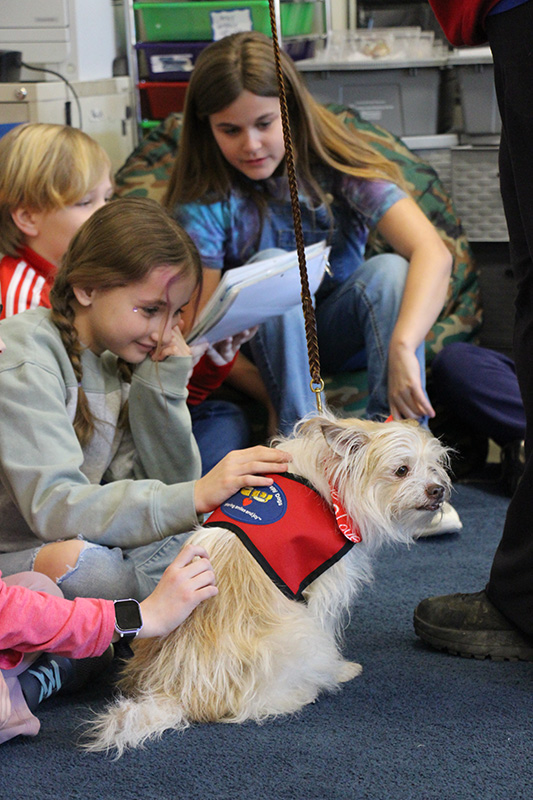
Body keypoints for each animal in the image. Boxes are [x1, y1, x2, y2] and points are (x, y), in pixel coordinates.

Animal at [86, 416, 448, 752]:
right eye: (401, 470)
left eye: (434, 467)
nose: (438, 490)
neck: (330, 483)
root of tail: (173, 693)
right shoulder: (322, 590)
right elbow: (329, 630)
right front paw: (340, 669)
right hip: (296, 632)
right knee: (248, 706)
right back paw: (300, 692)